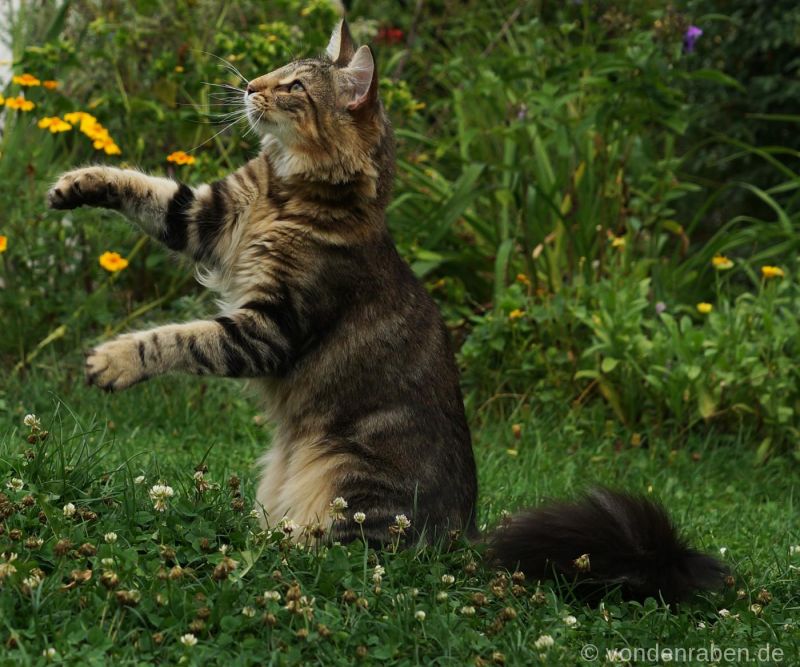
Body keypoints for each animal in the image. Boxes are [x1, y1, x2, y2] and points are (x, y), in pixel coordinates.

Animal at [47, 20, 728, 604]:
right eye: (277, 71)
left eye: (294, 87)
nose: (248, 86)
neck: (284, 194)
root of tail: (464, 536)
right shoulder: (209, 220)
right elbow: (143, 187)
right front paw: (74, 182)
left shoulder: (269, 327)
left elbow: (177, 339)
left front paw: (110, 362)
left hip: (344, 478)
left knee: (331, 557)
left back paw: (258, 551)